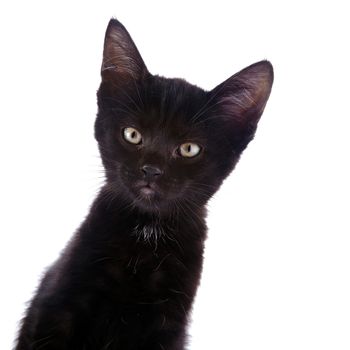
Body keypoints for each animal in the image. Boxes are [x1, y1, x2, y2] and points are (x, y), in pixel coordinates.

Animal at [14, 19, 274, 350]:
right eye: (133, 134)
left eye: (189, 149)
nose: (151, 170)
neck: (147, 234)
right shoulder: (56, 306)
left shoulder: (167, 325)